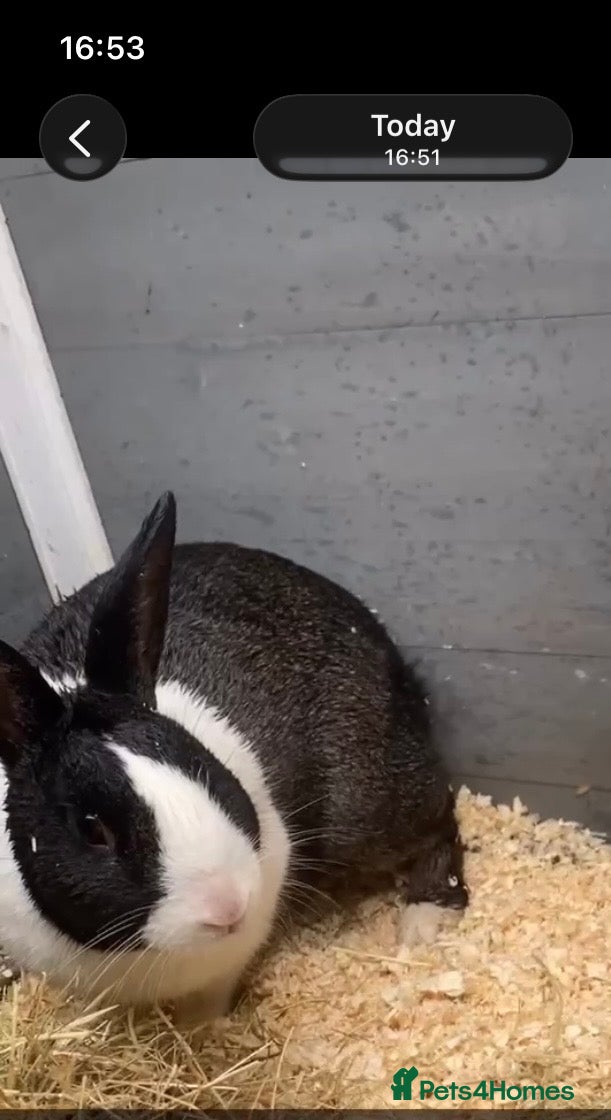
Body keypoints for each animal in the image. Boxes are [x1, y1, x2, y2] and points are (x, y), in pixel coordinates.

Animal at [0, 491, 468, 1017]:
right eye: (92, 829)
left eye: (199, 763)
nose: (227, 905)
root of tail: (398, 665)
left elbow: (210, 1001)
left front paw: (207, 1028)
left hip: (369, 807)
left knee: (439, 822)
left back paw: (423, 920)